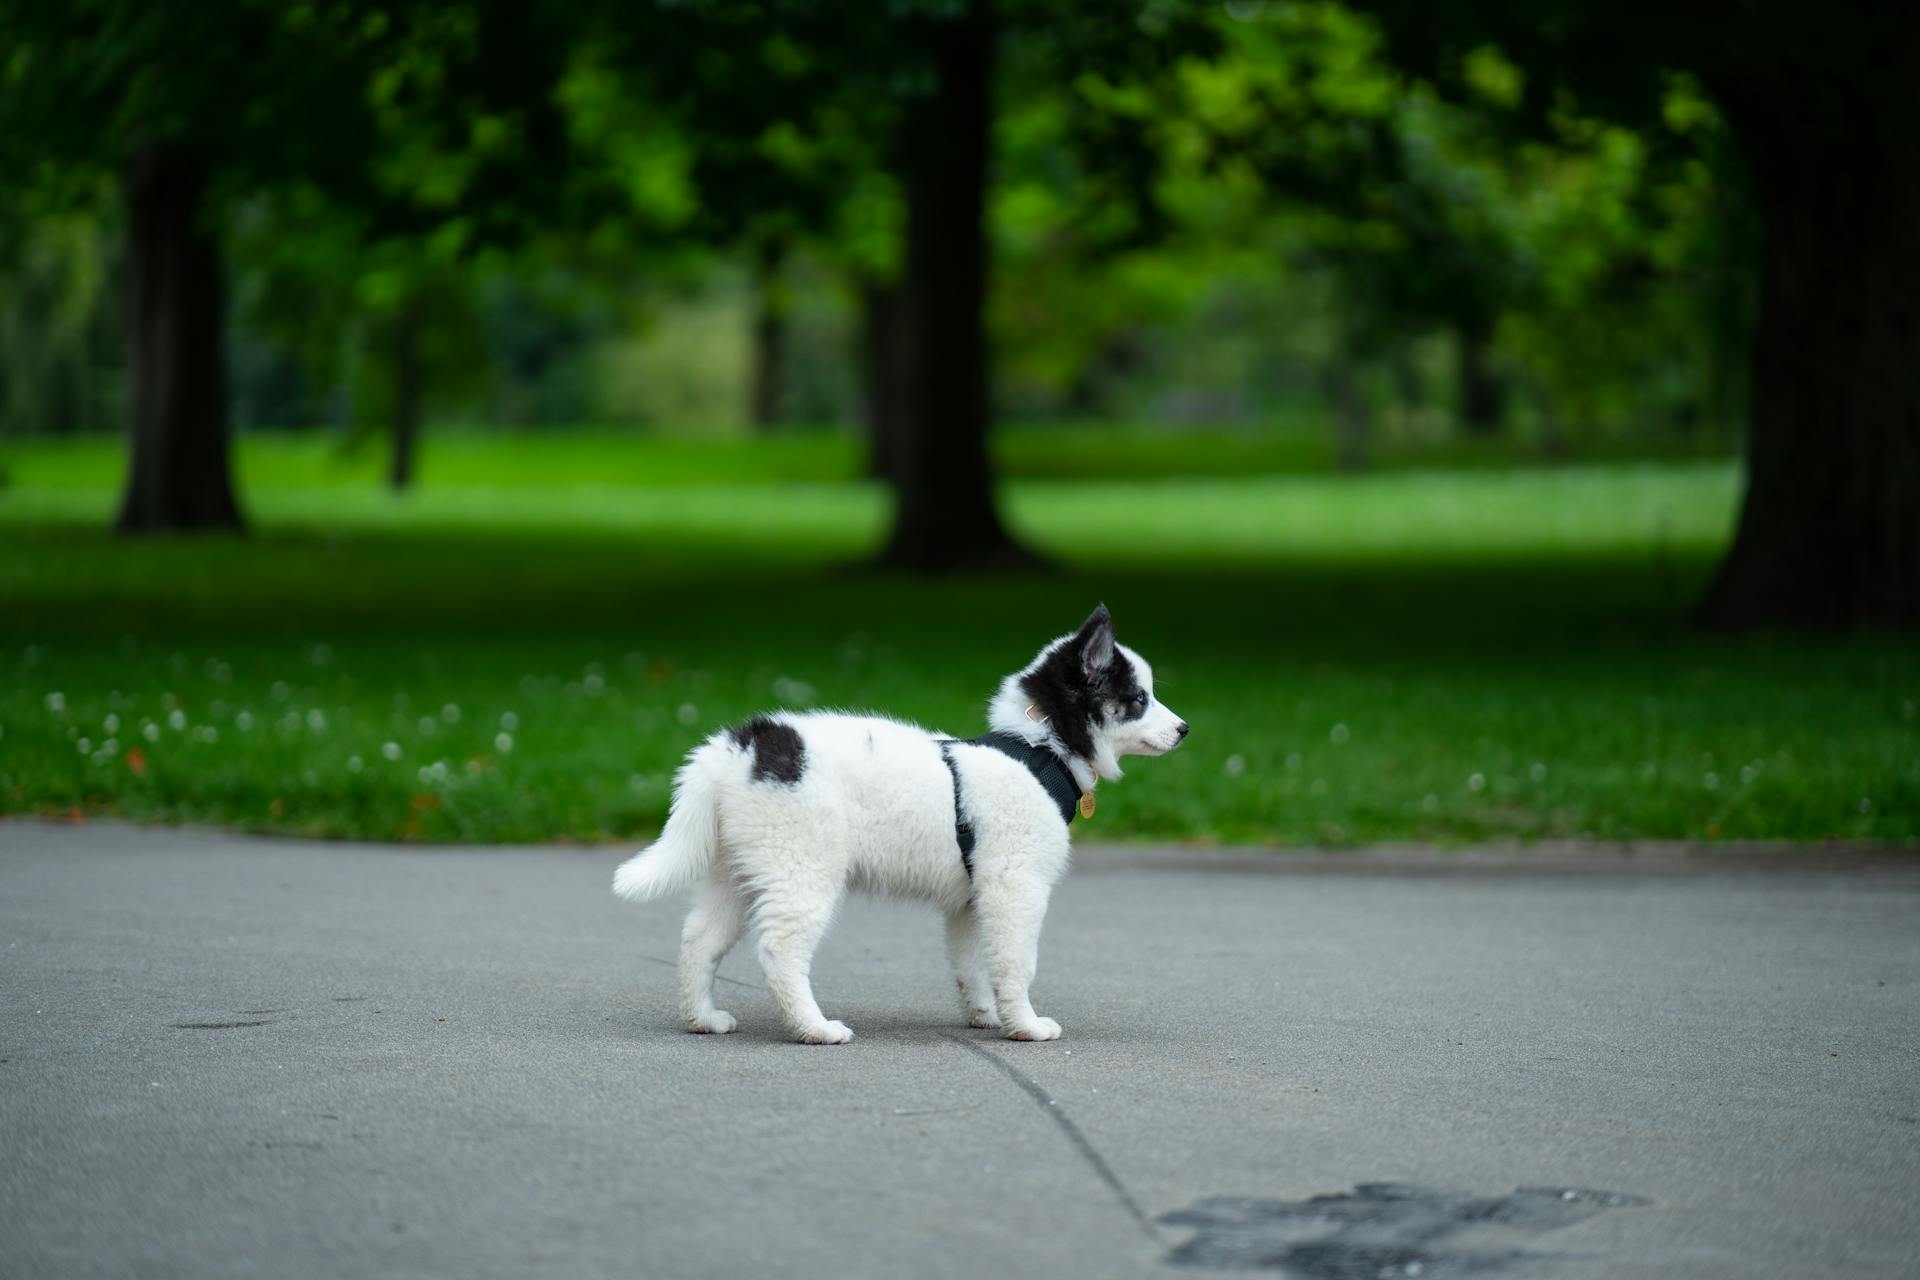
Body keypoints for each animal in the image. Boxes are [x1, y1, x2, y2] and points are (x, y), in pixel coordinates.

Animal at [614, 606, 1182, 1043]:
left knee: (699, 939)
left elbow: (973, 963)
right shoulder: (1014, 886)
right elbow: (1017, 960)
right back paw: (815, 1028)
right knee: (779, 950)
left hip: (737, 868)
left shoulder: (972, 899)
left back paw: (702, 1019)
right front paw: (1026, 1025)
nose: (1185, 729)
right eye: (1139, 699)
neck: (1039, 750)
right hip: (802, 868)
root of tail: (740, 747)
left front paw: (986, 1015)